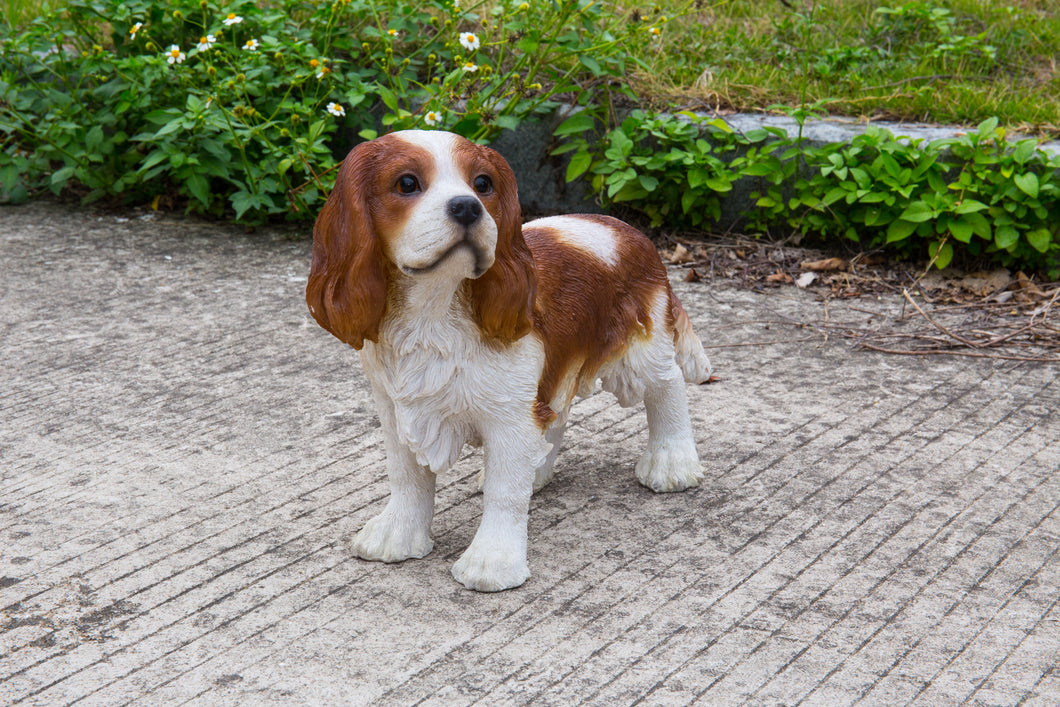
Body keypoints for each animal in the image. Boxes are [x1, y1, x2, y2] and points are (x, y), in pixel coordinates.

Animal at [305, 128, 712, 593]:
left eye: (483, 184)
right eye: (406, 183)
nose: (467, 206)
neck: (434, 308)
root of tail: (631, 232)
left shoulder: (509, 417)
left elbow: (504, 492)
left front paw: (492, 562)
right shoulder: (396, 408)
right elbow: (407, 476)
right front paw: (398, 535)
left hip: (642, 346)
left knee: (668, 386)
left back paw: (673, 463)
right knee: (558, 412)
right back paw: (541, 470)